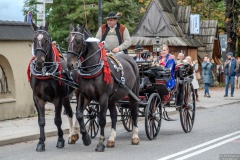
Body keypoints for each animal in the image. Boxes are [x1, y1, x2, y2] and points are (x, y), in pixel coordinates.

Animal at [29, 22, 79, 151]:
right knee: (70, 112)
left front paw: (60, 140)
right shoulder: (37, 99)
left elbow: (57, 120)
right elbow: (41, 121)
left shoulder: (57, 98)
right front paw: (41, 142)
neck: (45, 73)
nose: (39, 62)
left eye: (46, 40)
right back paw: (71, 135)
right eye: (34, 40)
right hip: (66, 96)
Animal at [66, 24, 140, 152]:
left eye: (78, 41)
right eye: (67, 40)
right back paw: (111, 139)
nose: (70, 64)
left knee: (134, 112)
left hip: (132, 94)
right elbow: (79, 114)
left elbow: (101, 119)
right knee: (114, 116)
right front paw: (85, 138)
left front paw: (100, 143)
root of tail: (131, 60)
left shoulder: (103, 97)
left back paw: (135, 136)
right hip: (112, 98)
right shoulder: (84, 95)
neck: (92, 69)